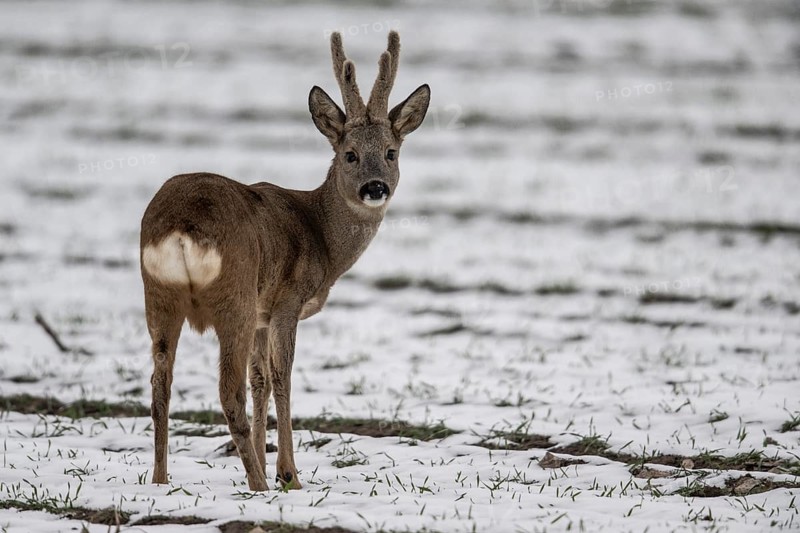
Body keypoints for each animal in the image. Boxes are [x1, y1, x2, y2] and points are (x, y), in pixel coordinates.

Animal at [139, 31, 430, 491]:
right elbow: (281, 377)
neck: (321, 236)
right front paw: (287, 473)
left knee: (159, 388)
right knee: (228, 392)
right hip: (234, 294)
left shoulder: (263, 311)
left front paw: (265, 458)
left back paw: (161, 479)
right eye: (349, 154)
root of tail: (182, 227)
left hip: (159, 296)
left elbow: (260, 378)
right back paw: (259, 483)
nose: (375, 187)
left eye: (390, 152)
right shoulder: (285, 303)